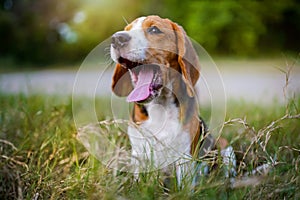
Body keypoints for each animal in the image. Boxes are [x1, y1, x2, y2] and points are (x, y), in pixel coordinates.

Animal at [110, 15, 234, 188]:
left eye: (154, 29)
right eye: (127, 30)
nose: (117, 38)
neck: (159, 108)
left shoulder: (184, 159)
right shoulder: (139, 155)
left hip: (226, 148)